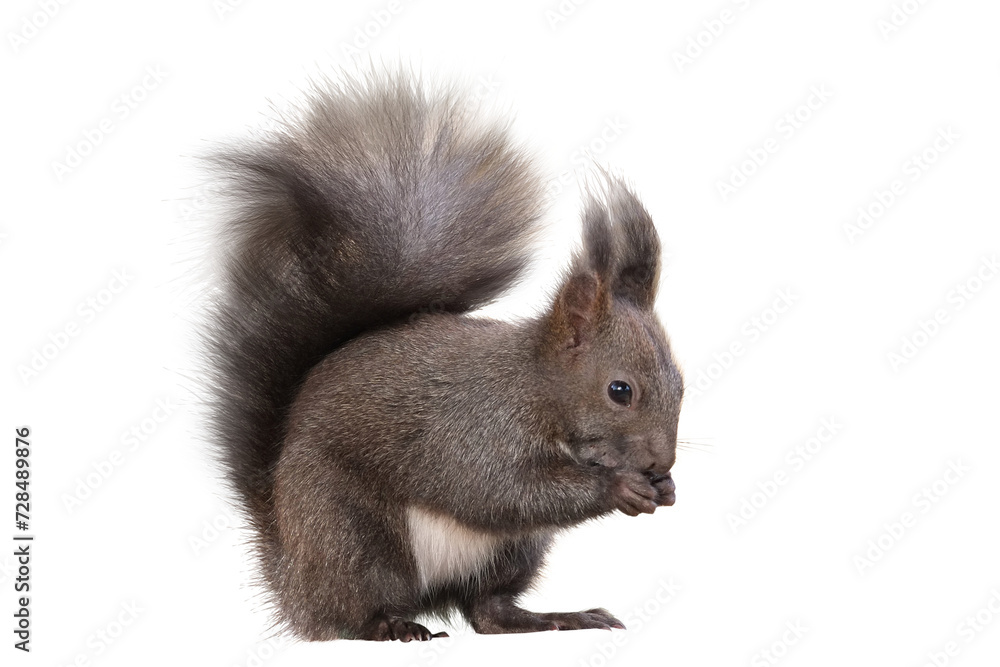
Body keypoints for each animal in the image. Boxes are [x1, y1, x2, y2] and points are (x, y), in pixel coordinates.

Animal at [203, 71, 684, 642]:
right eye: (619, 391)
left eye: (681, 384)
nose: (661, 462)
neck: (535, 388)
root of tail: (289, 572)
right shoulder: (475, 430)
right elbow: (499, 490)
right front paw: (619, 486)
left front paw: (665, 488)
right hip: (349, 534)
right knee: (350, 616)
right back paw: (392, 626)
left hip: (515, 551)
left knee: (487, 611)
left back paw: (555, 618)